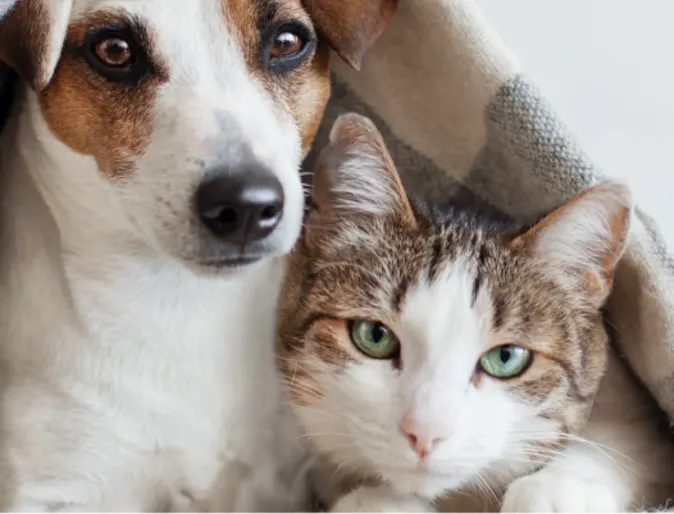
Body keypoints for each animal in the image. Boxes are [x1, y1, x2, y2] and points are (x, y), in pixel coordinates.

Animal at [276, 113, 672, 512]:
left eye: (507, 357)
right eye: (374, 336)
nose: (425, 432)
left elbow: (626, 439)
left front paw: (556, 489)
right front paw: (377, 502)